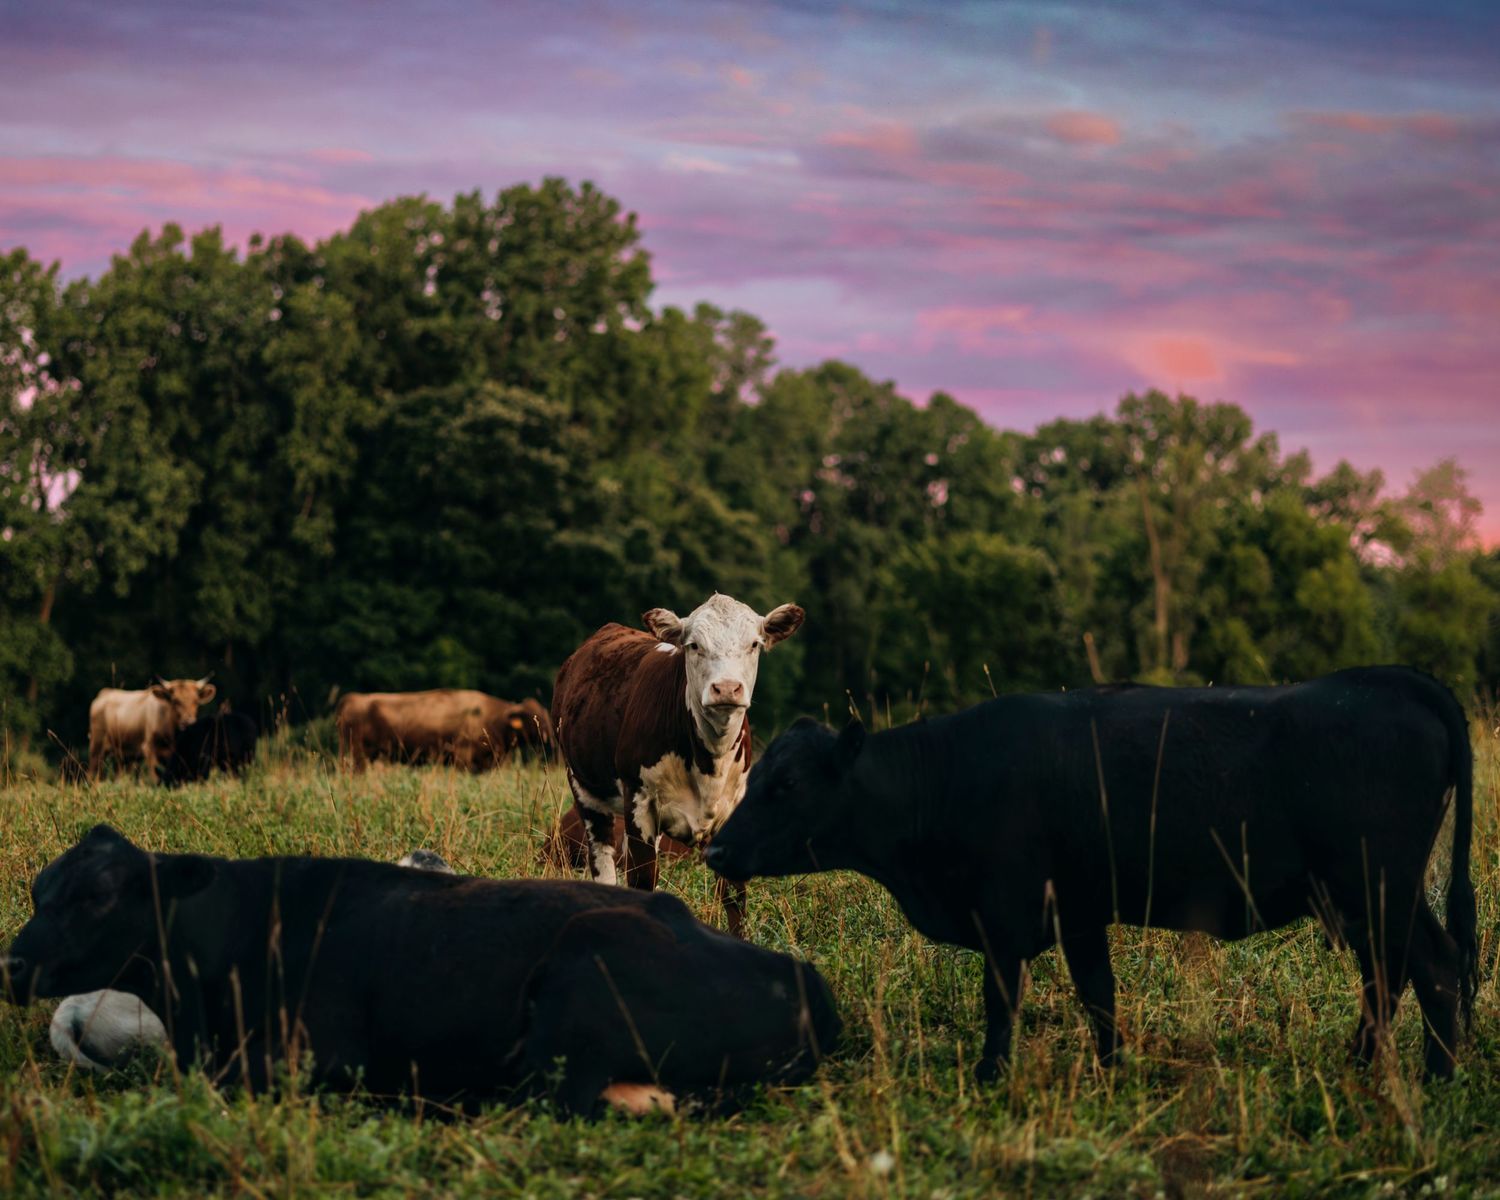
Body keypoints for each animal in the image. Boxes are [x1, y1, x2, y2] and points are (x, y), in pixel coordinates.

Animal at [5, 826, 839, 1113]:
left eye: (97, 894)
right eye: (38, 890)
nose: (13, 962)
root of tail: (813, 990)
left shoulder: (325, 1053)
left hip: (576, 991)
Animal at [88, 677, 217, 780]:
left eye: (196, 701)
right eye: (175, 701)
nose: (188, 722)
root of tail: (105, 692)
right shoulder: (149, 748)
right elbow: (154, 777)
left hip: (125, 756)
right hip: (97, 746)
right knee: (93, 774)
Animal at [552, 593, 804, 936]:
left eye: (754, 643)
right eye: (694, 645)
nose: (727, 688)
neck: (709, 761)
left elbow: (734, 895)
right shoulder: (640, 804)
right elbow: (643, 881)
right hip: (587, 793)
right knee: (604, 862)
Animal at [706, 667, 1478, 1080]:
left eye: (786, 785)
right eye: (757, 775)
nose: (715, 852)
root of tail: (1388, 680)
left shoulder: (1004, 913)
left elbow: (1001, 1000)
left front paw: (991, 1075)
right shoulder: (1077, 911)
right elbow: (1098, 993)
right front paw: (1114, 1067)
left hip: (1378, 883)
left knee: (1433, 967)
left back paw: (1435, 1075)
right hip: (1369, 895)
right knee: (1390, 973)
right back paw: (1363, 1061)